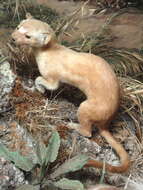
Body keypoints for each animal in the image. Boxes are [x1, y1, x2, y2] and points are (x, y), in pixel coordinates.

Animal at [11, 13, 130, 173]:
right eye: (18, 27)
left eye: (28, 36)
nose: (13, 38)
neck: (49, 53)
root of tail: (107, 121)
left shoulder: (52, 76)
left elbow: (46, 82)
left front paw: (39, 88)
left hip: (86, 107)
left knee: (88, 131)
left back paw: (72, 125)